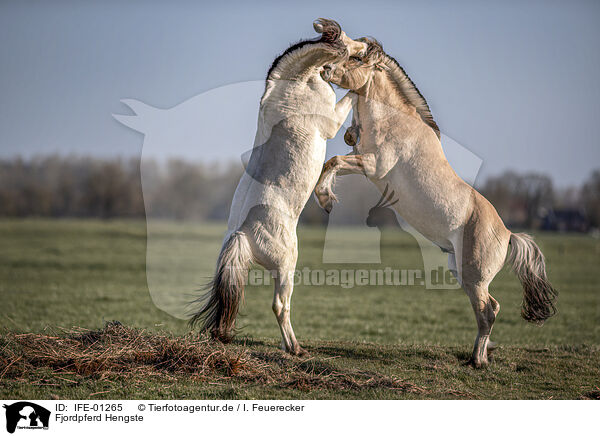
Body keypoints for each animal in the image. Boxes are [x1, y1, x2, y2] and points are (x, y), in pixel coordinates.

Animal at [191, 18, 366, 356]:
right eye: (348, 39)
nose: (365, 46)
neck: (295, 84)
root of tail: (242, 234)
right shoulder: (331, 121)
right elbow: (351, 96)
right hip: (287, 265)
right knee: (280, 305)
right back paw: (296, 349)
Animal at [314, 39, 556, 368]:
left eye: (357, 58)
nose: (325, 69)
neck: (394, 121)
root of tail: (508, 235)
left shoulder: (373, 165)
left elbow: (335, 161)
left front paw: (325, 198)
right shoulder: (362, 159)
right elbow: (334, 160)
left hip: (474, 276)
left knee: (487, 312)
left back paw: (477, 361)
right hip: (464, 274)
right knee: (490, 308)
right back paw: (478, 357)